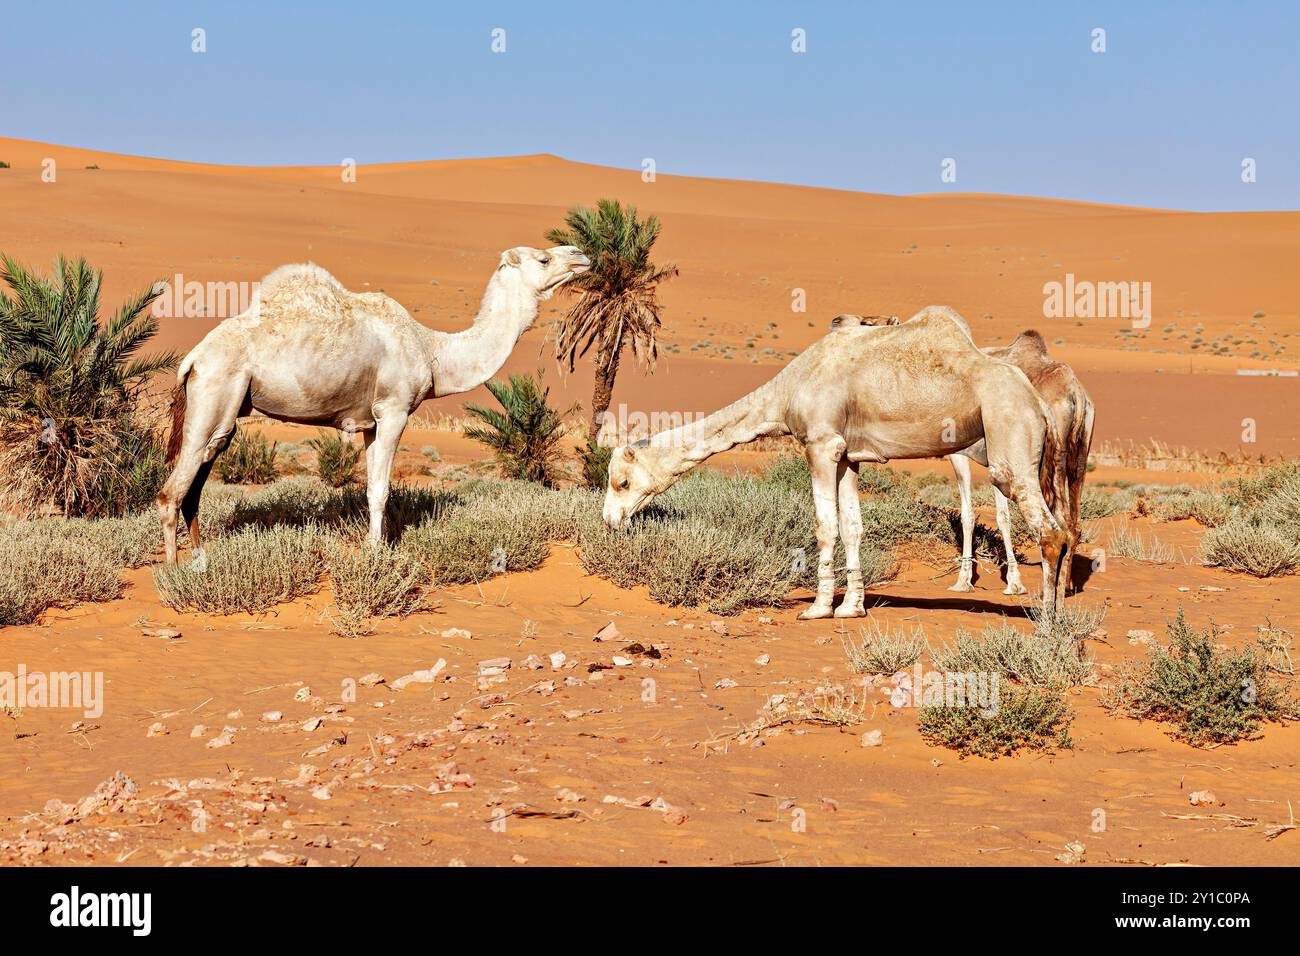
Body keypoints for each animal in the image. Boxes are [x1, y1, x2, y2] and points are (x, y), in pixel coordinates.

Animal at [154, 244, 592, 567]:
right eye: (544, 259)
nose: (581, 254)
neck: (432, 351)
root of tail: (192, 359)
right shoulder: (394, 411)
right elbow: (381, 490)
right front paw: (377, 552)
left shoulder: (368, 422)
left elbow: (368, 488)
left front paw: (371, 544)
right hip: (216, 390)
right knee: (171, 492)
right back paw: (174, 572)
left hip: (227, 409)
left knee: (196, 483)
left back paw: (201, 558)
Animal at [603, 306, 1071, 621]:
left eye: (621, 481)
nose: (609, 520)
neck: (786, 391)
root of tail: (1037, 401)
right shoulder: (847, 456)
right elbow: (852, 527)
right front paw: (852, 607)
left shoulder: (821, 445)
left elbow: (824, 526)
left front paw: (818, 608)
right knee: (1064, 529)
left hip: (1009, 441)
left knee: (1048, 530)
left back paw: (1047, 620)